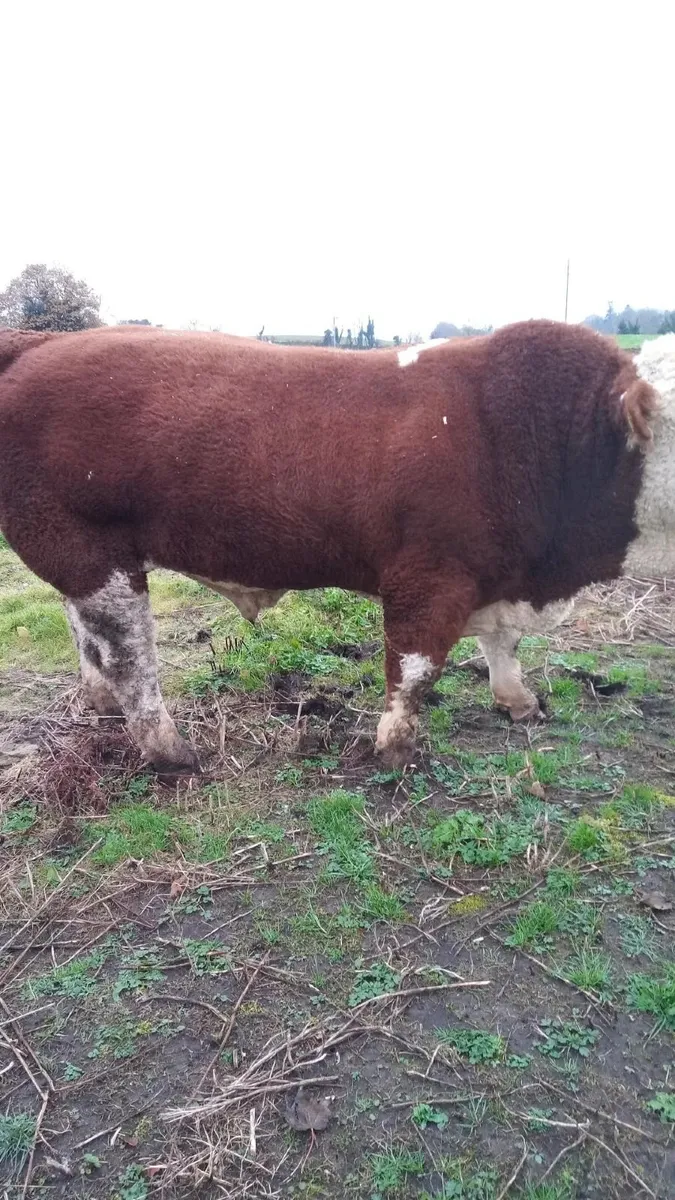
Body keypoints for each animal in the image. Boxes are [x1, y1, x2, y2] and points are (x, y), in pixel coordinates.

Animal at [0, 319, 659, 774]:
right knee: (127, 657)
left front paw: (517, 701)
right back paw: (170, 751)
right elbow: (414, 670)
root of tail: (37, 343)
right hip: (87, 549)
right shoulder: (429, 576)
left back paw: (103, 705)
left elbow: (503, 644)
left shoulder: (497, 571)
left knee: (84, 634)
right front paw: (395, 750)